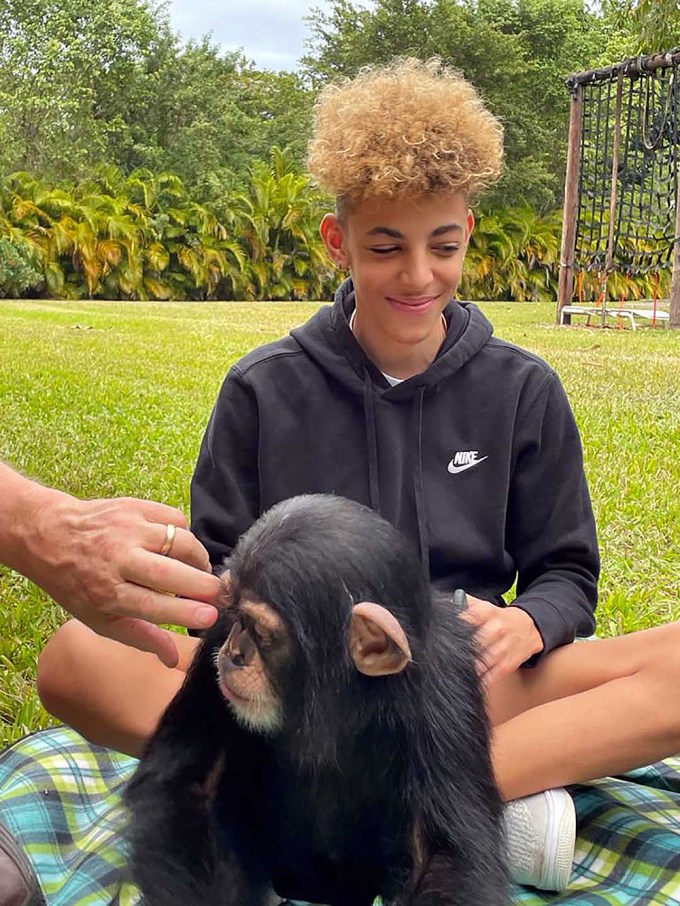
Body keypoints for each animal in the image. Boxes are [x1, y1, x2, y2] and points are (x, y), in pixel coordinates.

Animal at [126, 494, 510, 904]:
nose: (234, 653)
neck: (342, 696)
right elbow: (185, 787)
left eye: (261, 631)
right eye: (233, 614)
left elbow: (443, 856)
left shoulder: (447, 694)